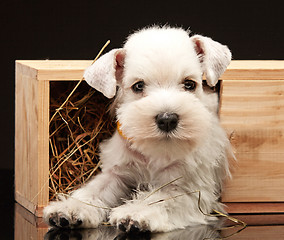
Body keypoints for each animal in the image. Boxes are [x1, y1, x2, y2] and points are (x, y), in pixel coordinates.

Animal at [43, 25, 232, 232]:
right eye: (138, 86)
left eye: (189, 84)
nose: (167, 119)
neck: (155, 152)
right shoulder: (116, 172)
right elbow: (93, 191)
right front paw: (70, 208)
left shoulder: (189, 189)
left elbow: (162, 199)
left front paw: (135, 213)